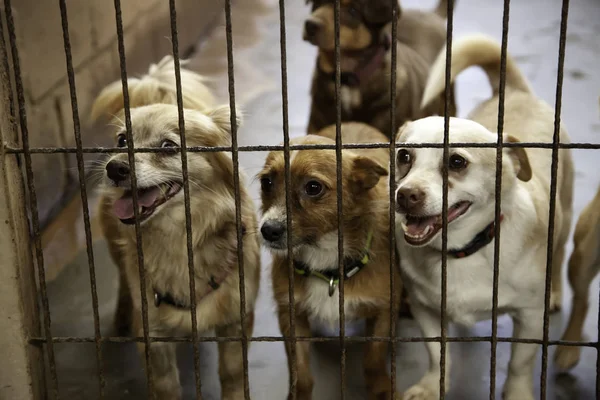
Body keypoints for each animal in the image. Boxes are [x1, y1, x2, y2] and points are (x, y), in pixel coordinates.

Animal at [91, 56, 260, 400]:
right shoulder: (154, 338)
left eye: (168, 147)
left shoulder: (236, 323)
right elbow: (166, 384)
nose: (114, 167)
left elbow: (233, 375)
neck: (178, 237)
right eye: (122, 141)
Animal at [258, 122, 404, 400]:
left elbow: (373, 358)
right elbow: (300, 372)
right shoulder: (291, 316)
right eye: (266, 182)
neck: (325, 262)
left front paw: (381, 389)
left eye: (313, 187)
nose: (268, 230)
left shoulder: (384, 310)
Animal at [394, 35, 576, 400]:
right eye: (404, 156)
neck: (463, 251)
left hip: (563, 210)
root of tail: (516, 91)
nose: (405, 195)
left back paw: (555, 292)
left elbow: (519, 363)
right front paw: (432, 386)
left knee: (560, 249)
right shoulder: (424, 310)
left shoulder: (529, 317)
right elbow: (436, 352)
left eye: (457, 162)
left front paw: (517, 393)